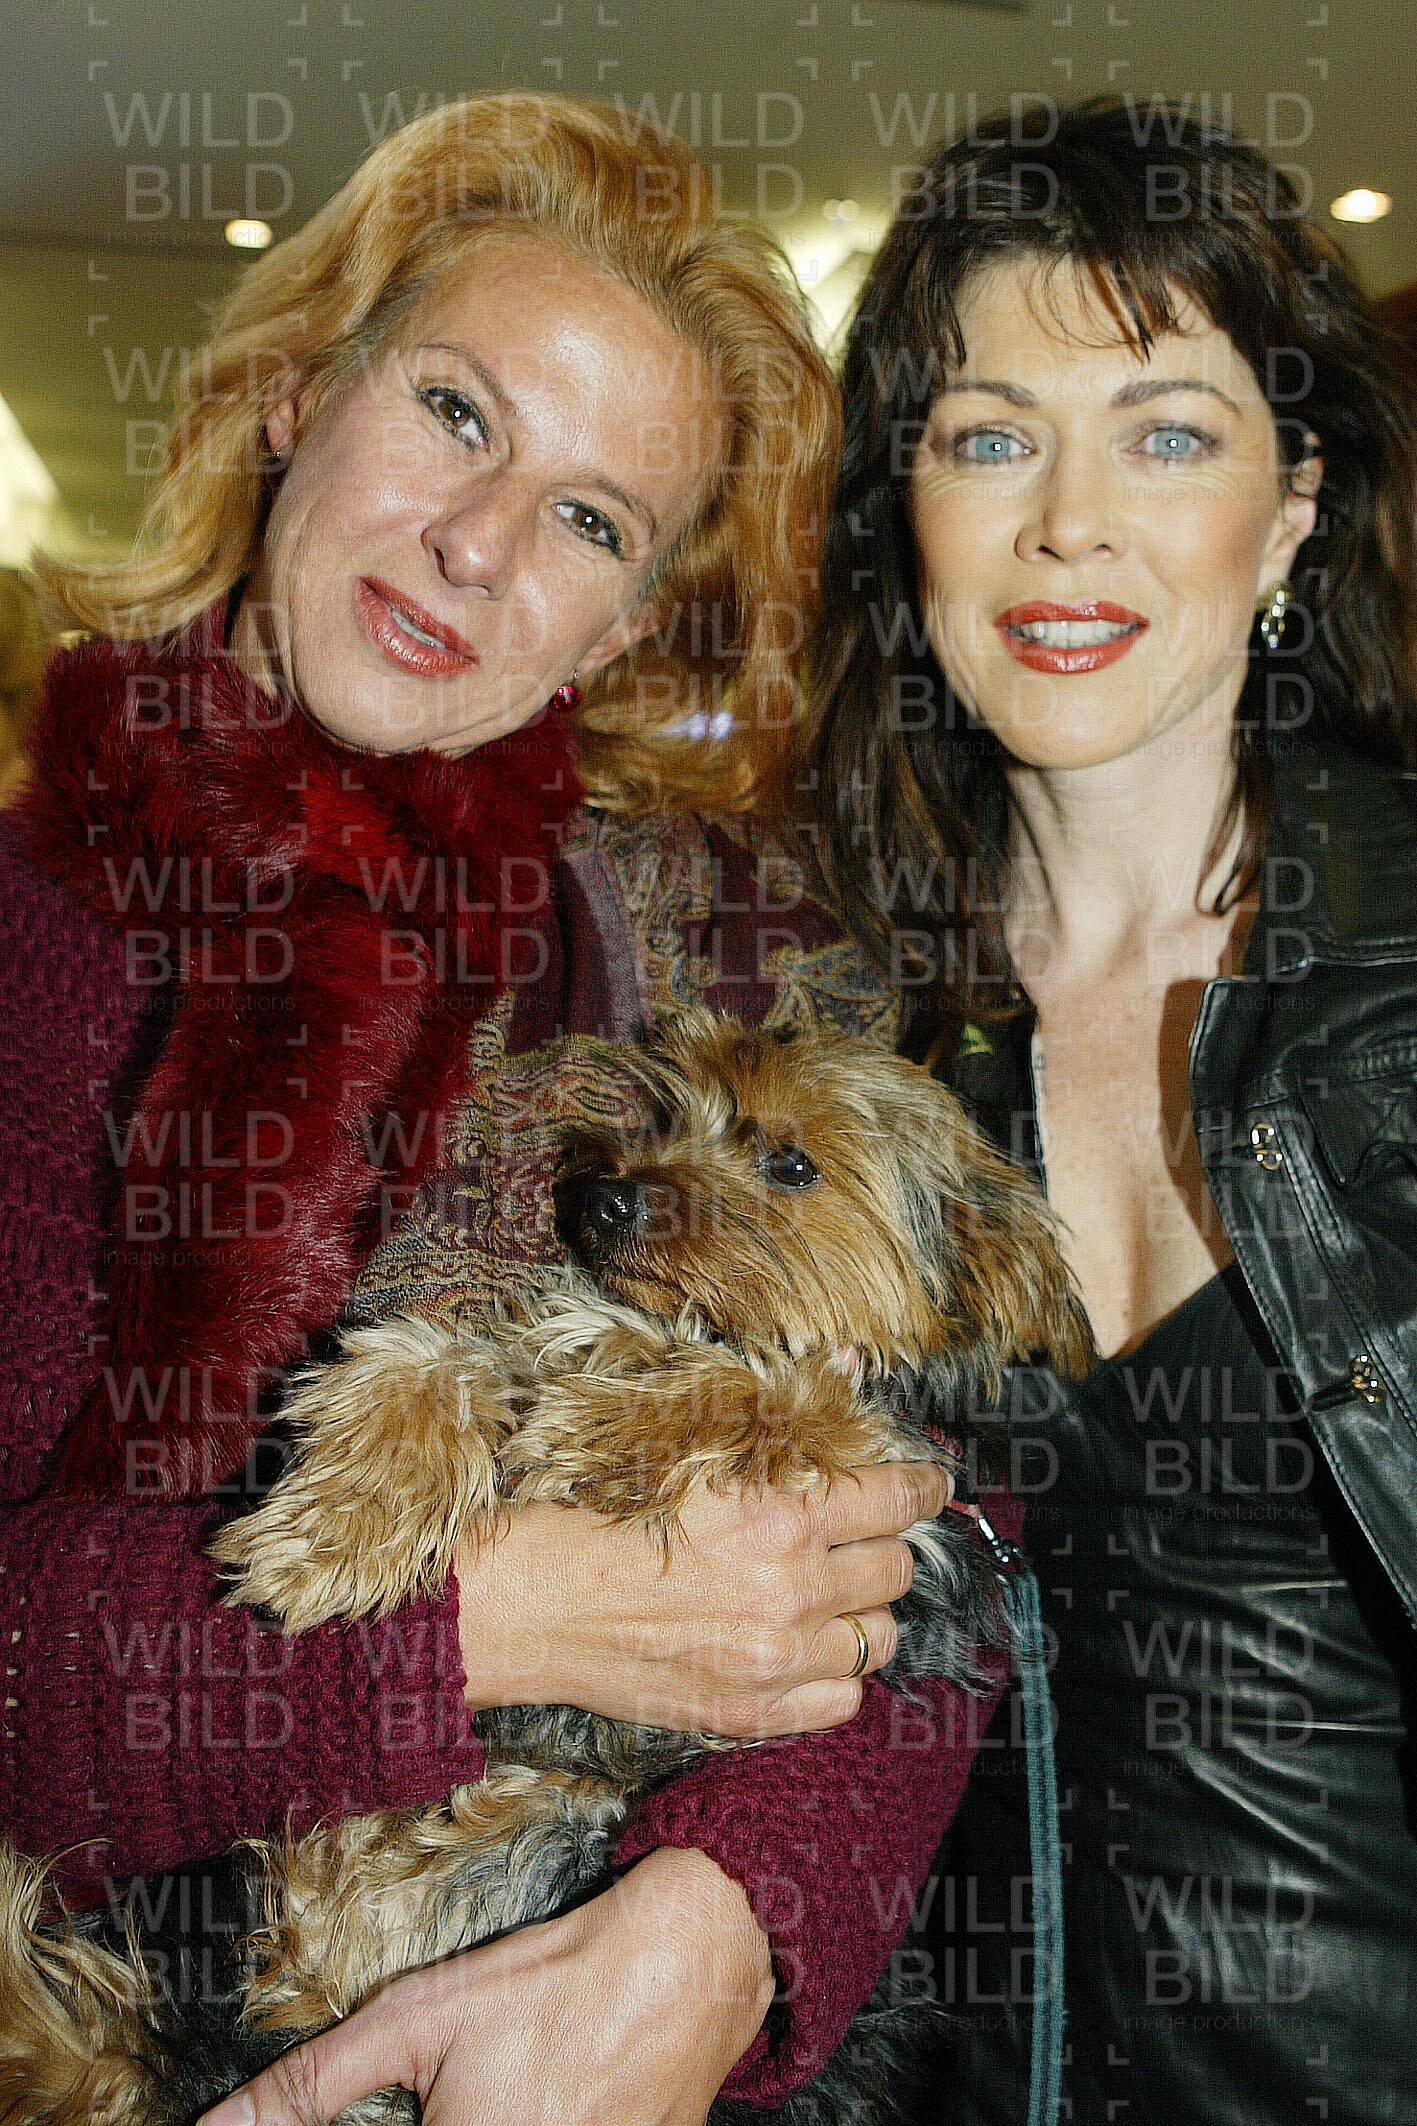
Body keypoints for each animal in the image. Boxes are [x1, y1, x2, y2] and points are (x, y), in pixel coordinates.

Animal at [0, 1008, 1091, 2126]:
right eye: (667, 1112)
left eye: (791, 1162)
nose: (602, 1197)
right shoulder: (526, 1339)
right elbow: (440, 1357)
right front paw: (339, 1526)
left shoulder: (895, 1487)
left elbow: (785, 1393)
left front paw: (608, 1418)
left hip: (549, 1829)